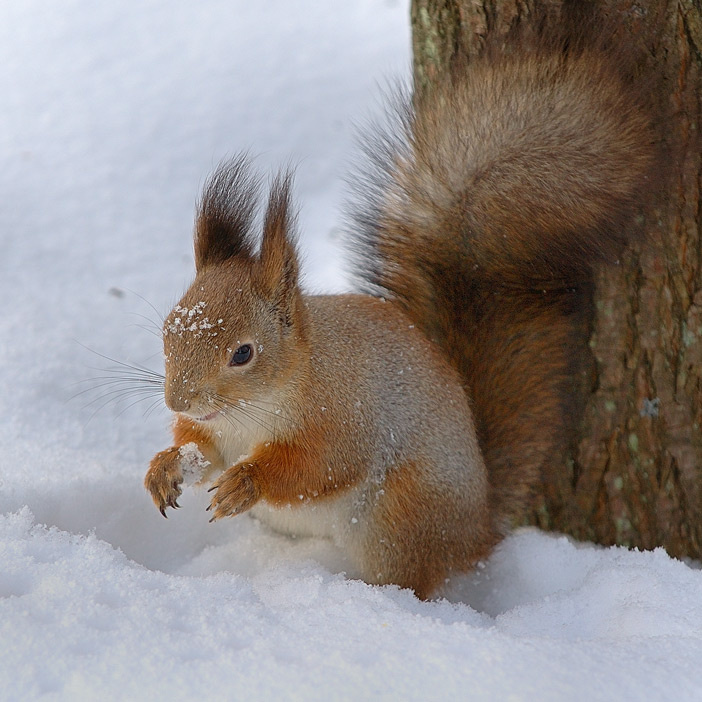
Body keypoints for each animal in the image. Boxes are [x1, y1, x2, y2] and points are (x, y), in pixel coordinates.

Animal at [144, 26, 657, 599]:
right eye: (167, 332)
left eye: (243, 354)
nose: (180, 400)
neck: (255, 409)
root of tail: (476, 532)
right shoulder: (217, 433)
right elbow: (202, 450)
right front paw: (166, 467)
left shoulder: (346, 415)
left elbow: (319, 467)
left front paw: (248, 481)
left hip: (402, 514)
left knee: (410, 576)